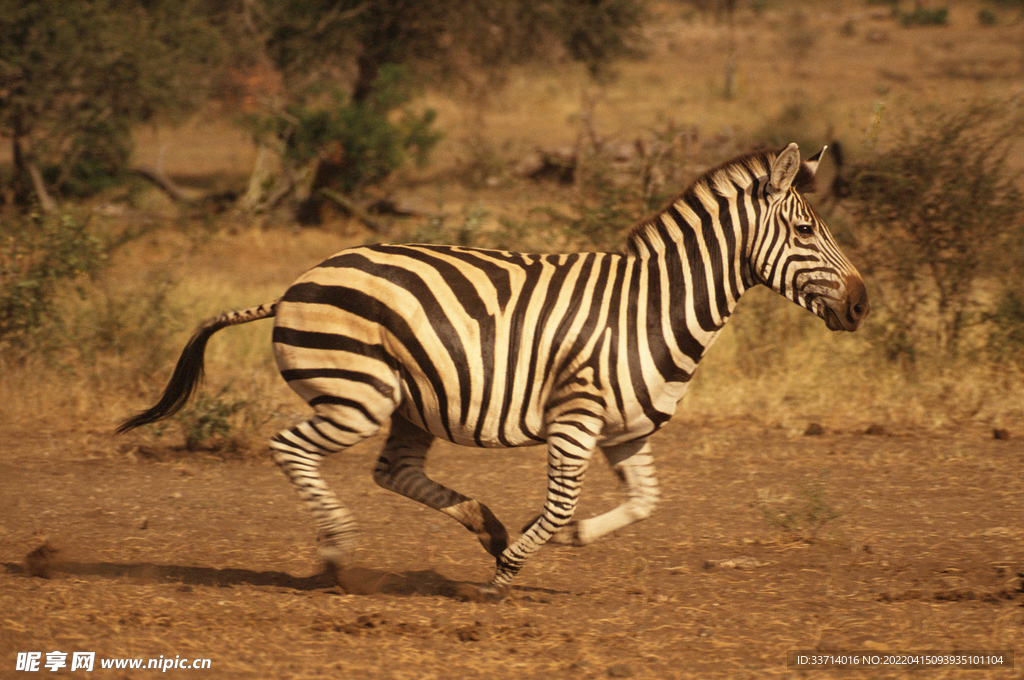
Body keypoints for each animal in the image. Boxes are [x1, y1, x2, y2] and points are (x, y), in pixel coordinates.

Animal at [119, 142, 872, 589]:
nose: (863, 302)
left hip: (409, 402)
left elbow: (644, 501)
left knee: (392, 471)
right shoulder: (577, 415)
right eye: (805, 230)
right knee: (291, 448)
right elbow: (566, 495)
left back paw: (484, 524)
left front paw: (571, 537)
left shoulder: (626, 431)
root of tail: (294, 284)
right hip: (356, 394)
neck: (653, 307)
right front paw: (515, 565)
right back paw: (337, 552)